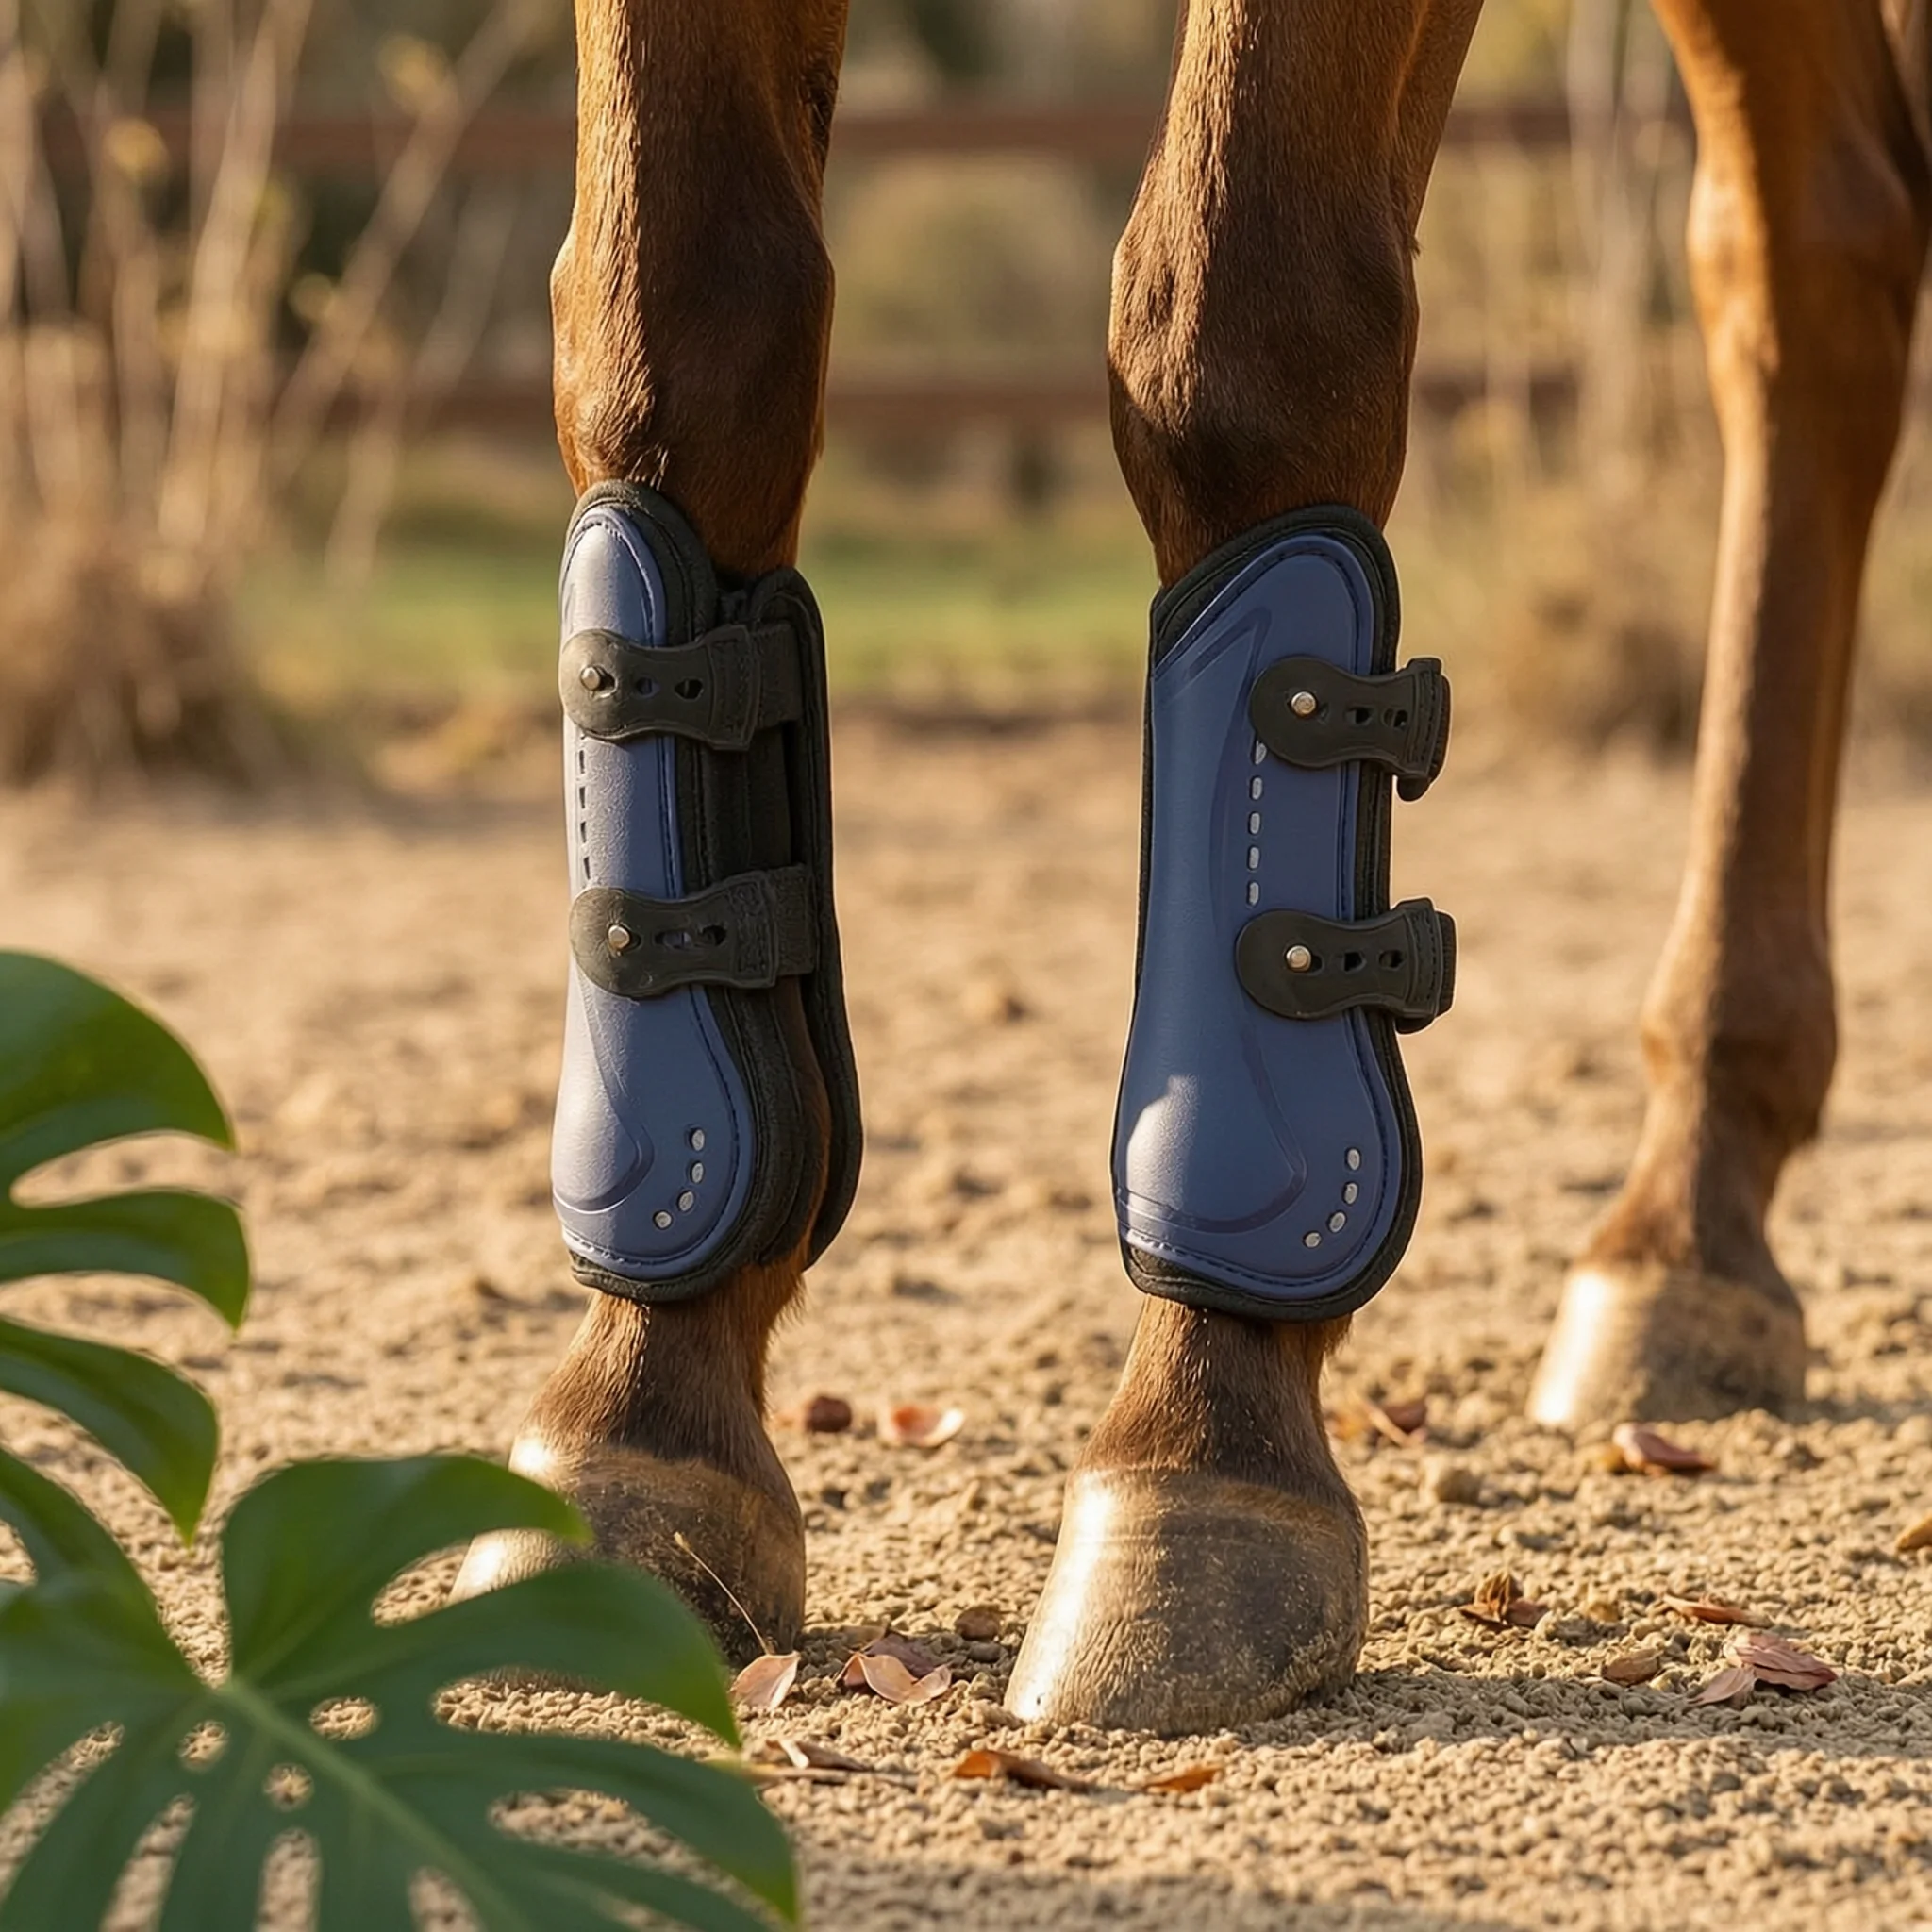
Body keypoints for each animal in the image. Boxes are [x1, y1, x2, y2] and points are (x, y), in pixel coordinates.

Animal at [453, 0, 1932, 1735]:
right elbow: (670, 320)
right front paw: (640, 1407)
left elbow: (1239, 326)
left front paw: (1201, 1450)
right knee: (1802, 250)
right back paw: (1698, 1204)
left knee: (1801, 256)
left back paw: (1692, 1190)